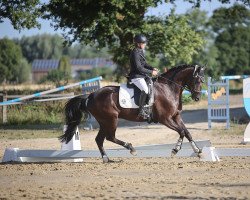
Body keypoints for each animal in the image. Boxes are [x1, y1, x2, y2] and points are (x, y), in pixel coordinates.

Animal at [60, 64, 205, 162]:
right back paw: (131, 149)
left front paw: (198, 151)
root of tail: (90, 96)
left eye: (202, 81)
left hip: (104, 122)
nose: (197, 98)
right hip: (111, 120)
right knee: (109, 137)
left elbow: (187, 132)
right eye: (197, 80)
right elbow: (181, 132)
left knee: (99, 139)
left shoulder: (176, 116)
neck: (168, 88)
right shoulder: (165, 119)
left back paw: (107, 159)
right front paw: (175, 150)